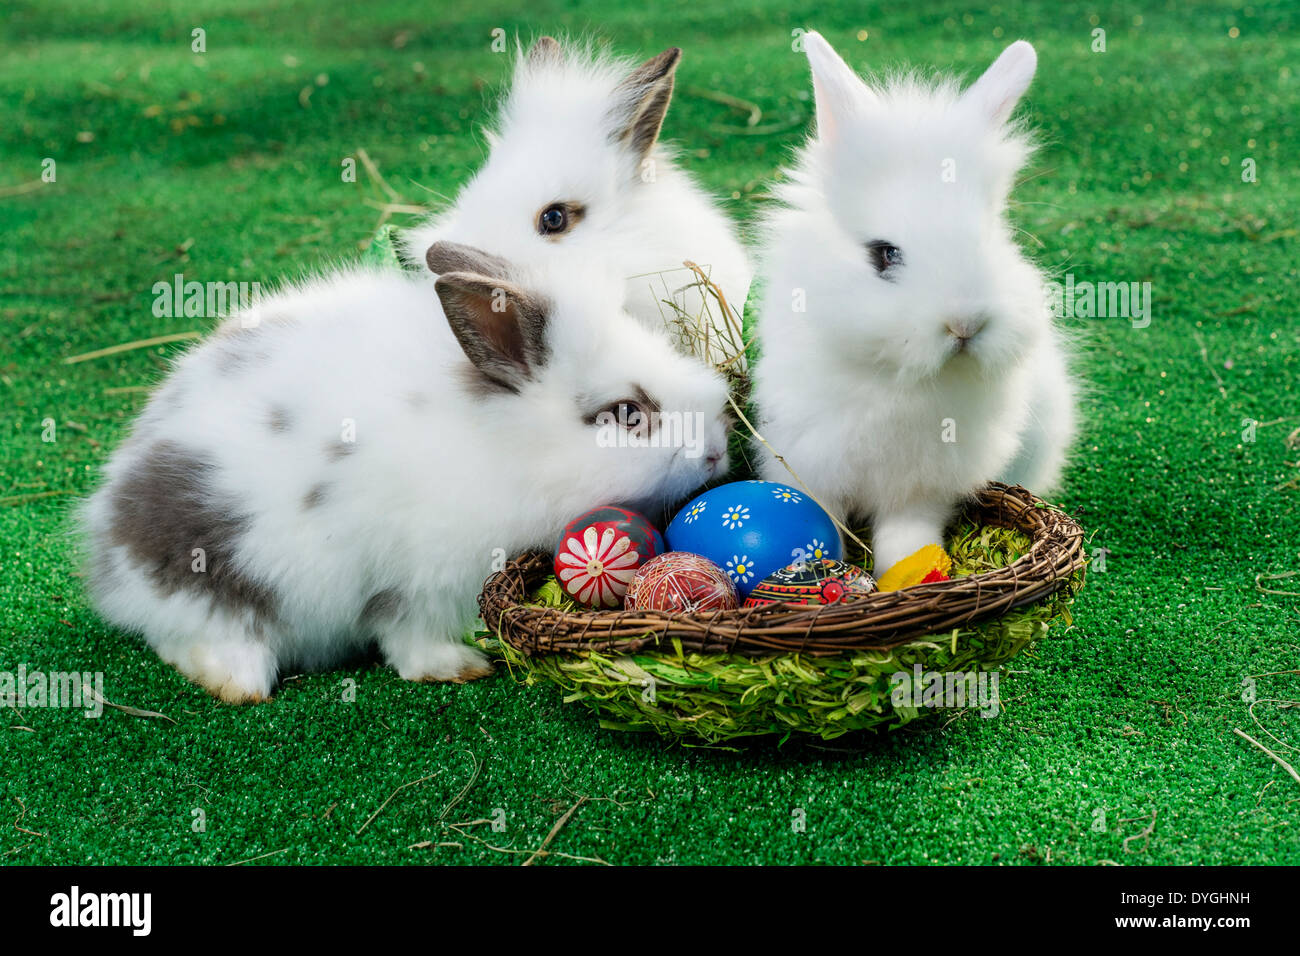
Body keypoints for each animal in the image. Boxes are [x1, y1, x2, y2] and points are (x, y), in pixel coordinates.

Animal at [81, 239, 733, 702]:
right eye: (626, 414)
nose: (716, 453)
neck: (508, 445)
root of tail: (105, 549)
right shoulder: (422, 579)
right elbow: (409, 635)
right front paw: (459, 667)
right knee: (193, 635)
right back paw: (240, 682)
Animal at [754, 33, 1076, 574]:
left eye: (991, 240)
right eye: (885, 254)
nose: (965, 324)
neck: (897, 378)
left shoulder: (927, 482)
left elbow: (908, 531)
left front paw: (904, 570)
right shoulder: (809, 459)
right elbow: (821, 516)